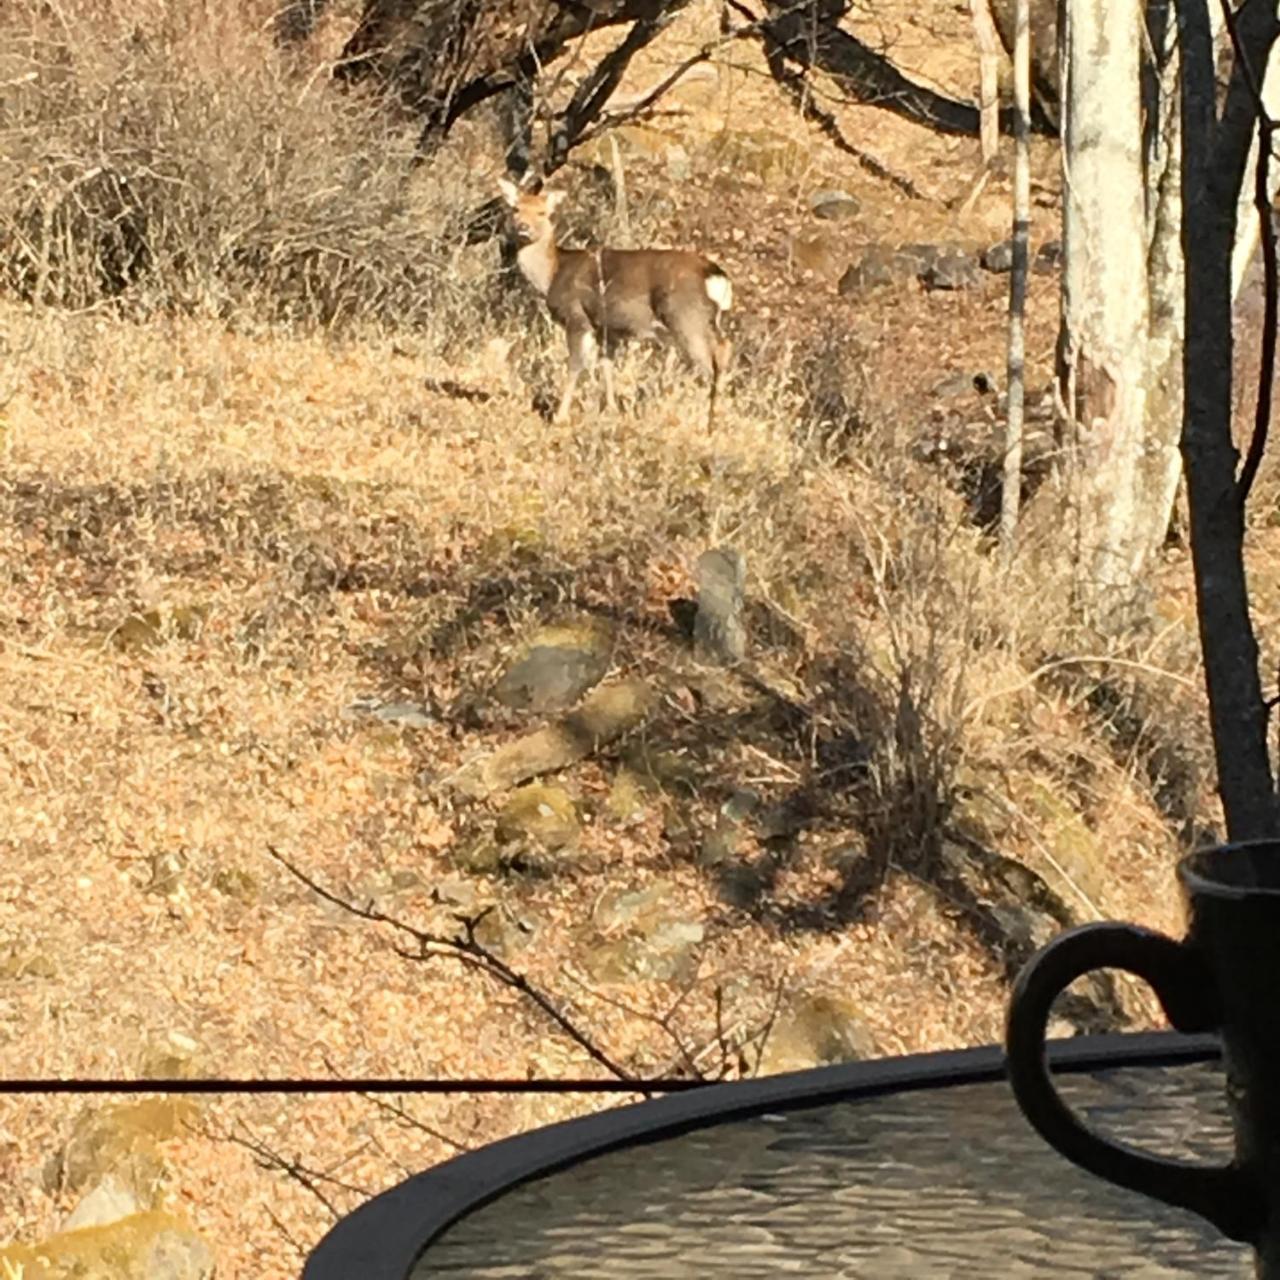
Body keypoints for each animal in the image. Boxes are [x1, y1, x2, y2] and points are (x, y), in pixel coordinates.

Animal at [499, 177, 742, 427]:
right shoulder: (606, 328)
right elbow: (606, 366)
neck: (552, 274)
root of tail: (716, 276)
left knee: (710, 361)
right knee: (725, 349)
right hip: (705, 319)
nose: (523, 227)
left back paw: (708, 421)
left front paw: (560, 417)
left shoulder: (577, 317)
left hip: (685, 316)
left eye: (542, 213)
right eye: (516, 208)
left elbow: (575, 365)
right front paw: (611, 409)